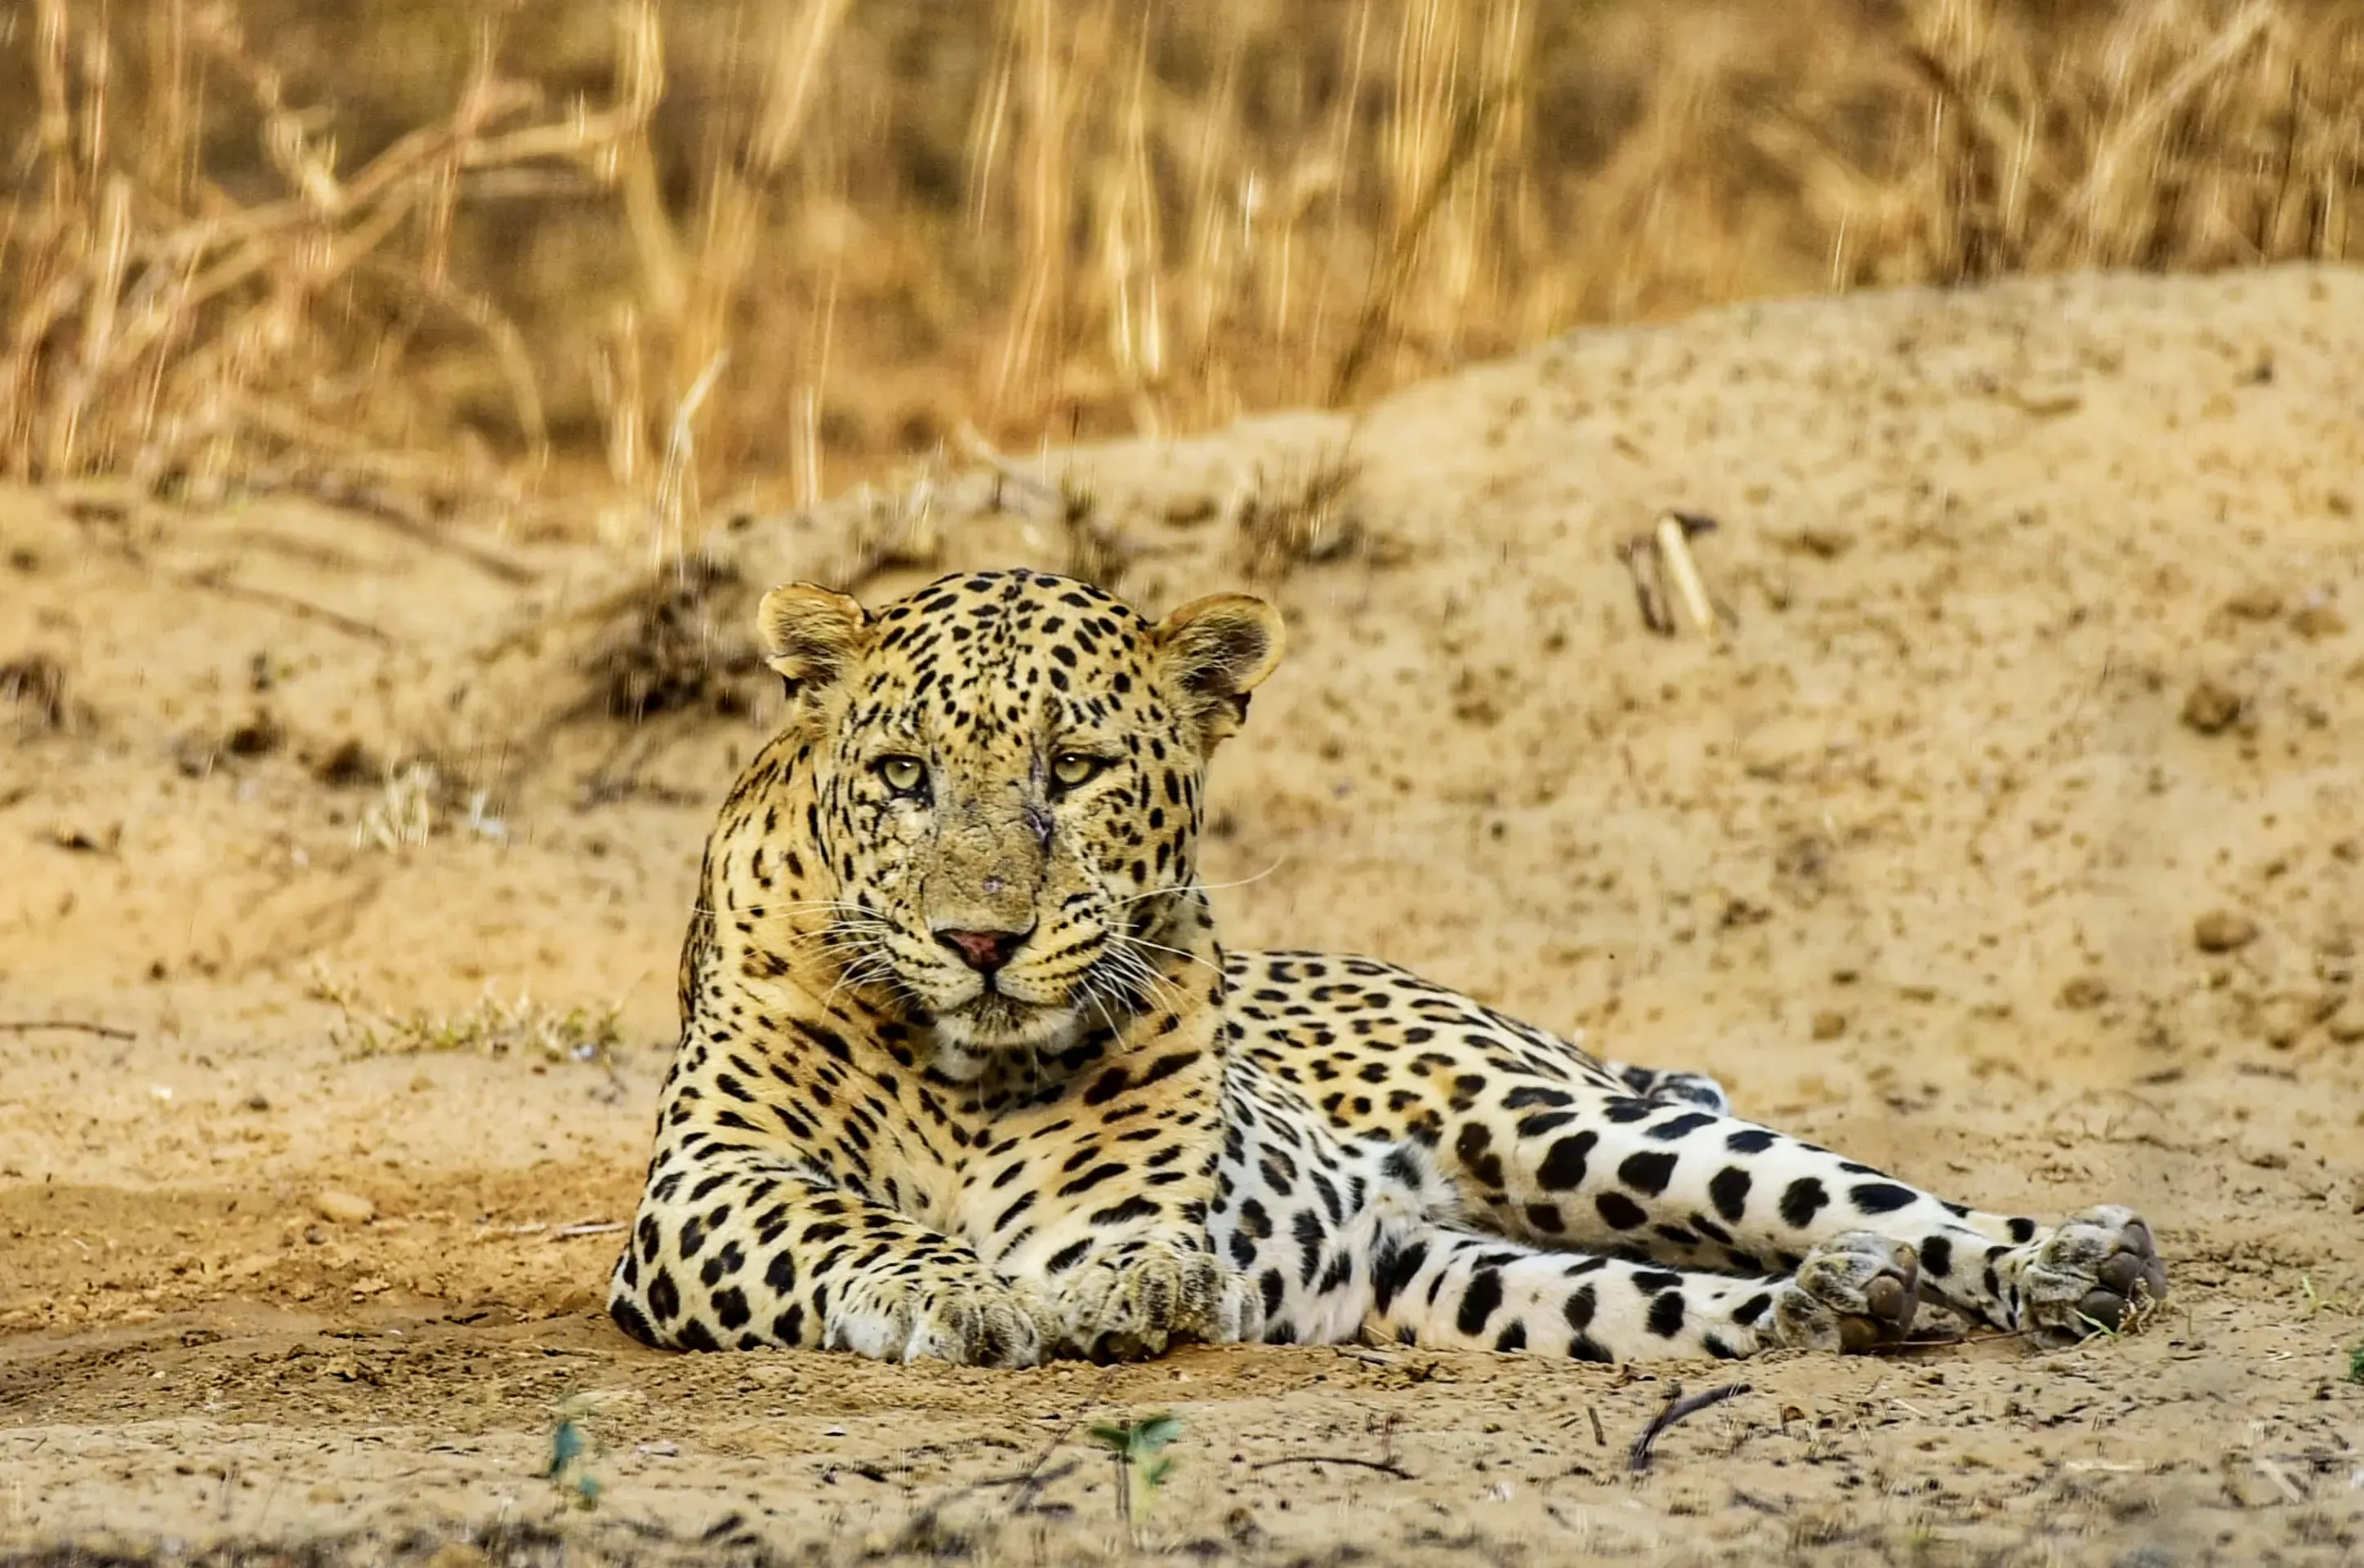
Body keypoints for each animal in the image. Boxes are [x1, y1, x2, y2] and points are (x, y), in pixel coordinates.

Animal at [608, 567, 2167, 1366]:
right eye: (902, 777)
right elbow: (840, 1218)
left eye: (1077, 770)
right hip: (1447, 1272)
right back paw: (1831, 1308)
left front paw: (1108, 1296)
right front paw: (953, 1292)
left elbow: (1114, 1246)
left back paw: (2065, 1263)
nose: (979, 943)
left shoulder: (1120, 1193)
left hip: (1554, 1122)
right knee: (1650, 1296)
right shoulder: (706, 1185)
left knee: (1862, 1199)